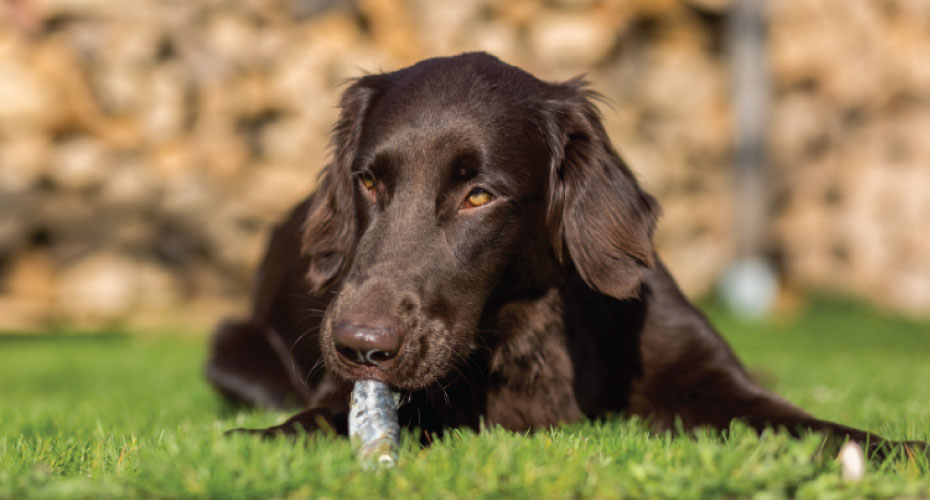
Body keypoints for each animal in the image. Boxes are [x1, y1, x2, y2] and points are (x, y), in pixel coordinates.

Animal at [208, 51, 920, 458]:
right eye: (368, 181)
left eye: (479, 194)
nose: (360, 347)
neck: (527, 331)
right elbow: (314, 423)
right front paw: (254, 445)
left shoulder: (705, 376)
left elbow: (815, 426)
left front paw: (903, 448)